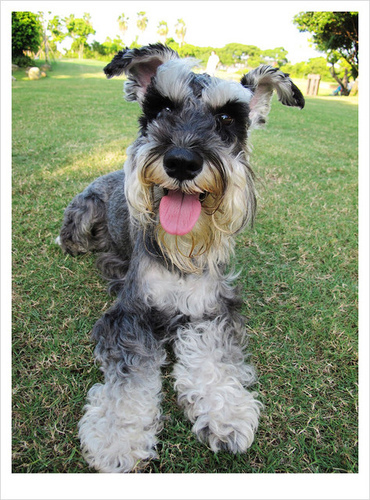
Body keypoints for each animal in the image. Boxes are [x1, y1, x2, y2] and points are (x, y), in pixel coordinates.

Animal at [55, 44, 304, 472]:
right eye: (163, 108)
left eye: (226, 118)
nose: (182, 161)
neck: (181, 249)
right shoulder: (131, 314)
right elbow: (129, 378)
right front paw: (117, 438)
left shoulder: (208, 309)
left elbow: (211, 361)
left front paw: (225, 414)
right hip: (80, 221)